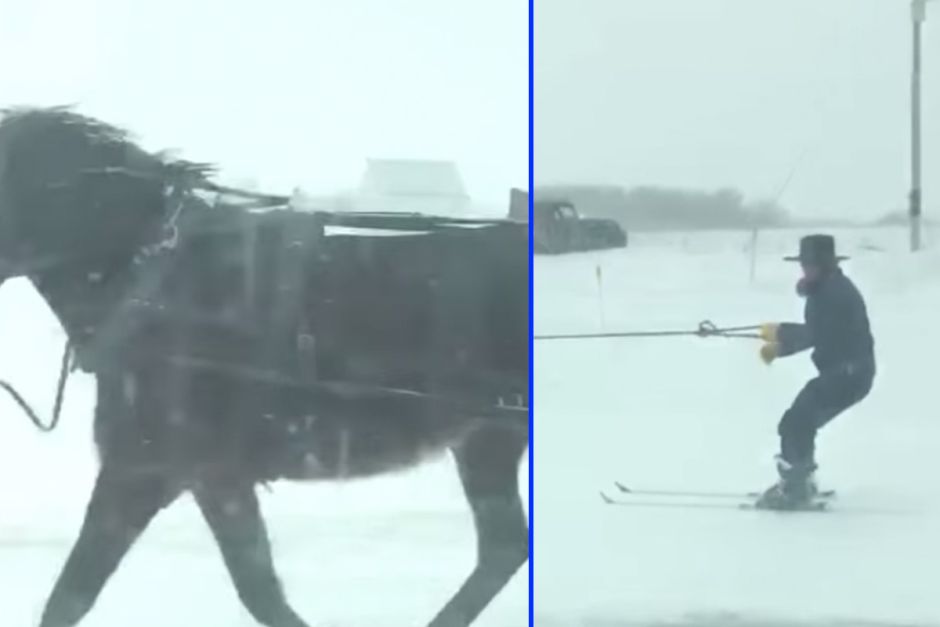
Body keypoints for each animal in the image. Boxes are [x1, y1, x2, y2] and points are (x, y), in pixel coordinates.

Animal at [0, 106, 530, 627]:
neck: (152, 280)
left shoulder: (154, 469)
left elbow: (74, 595)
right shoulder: (202, 476)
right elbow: (258, 590)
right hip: (484, 439)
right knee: (505, 547)